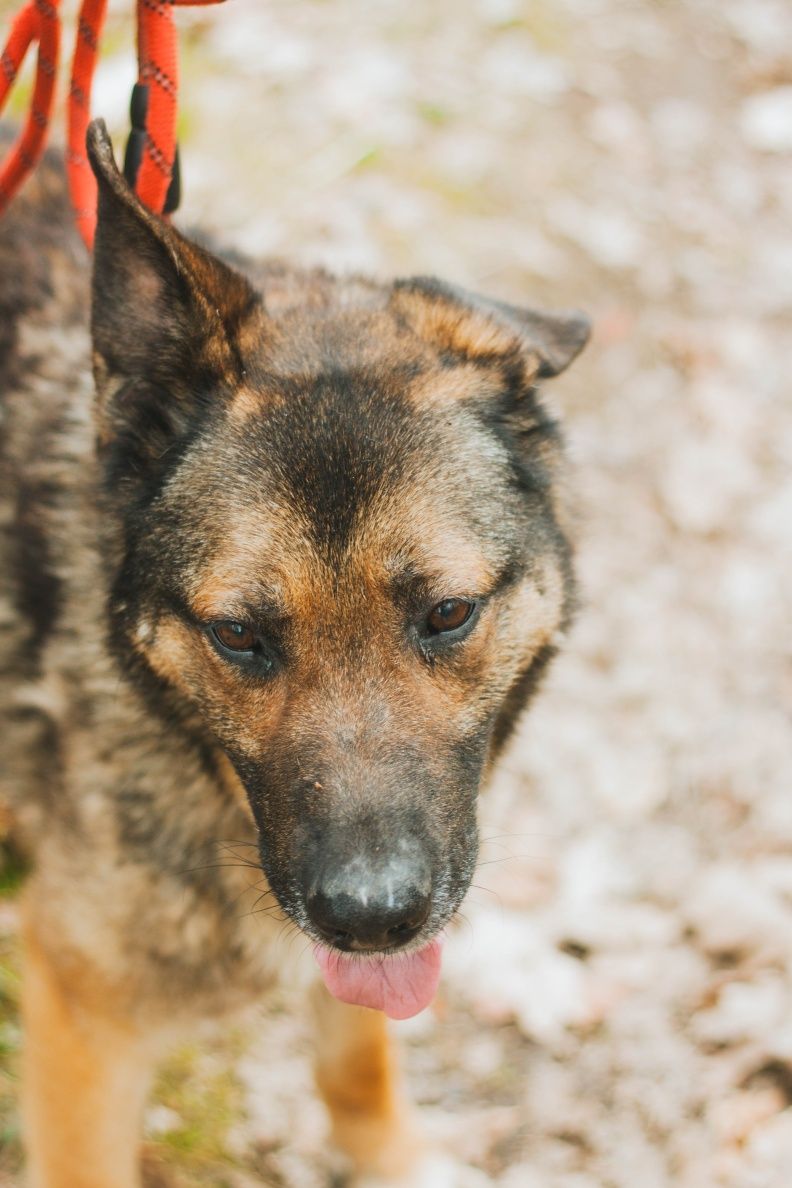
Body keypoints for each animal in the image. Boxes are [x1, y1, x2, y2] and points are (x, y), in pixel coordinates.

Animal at [0, 122, 588, 1188]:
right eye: (238, 633)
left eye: (448, 612)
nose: (372, 915)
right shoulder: (86, 1025)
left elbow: (357, 1063)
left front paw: (394, 1158)